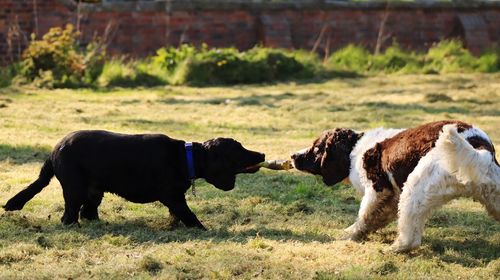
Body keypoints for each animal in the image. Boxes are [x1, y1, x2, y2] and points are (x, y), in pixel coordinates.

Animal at [2, 130, 266, 229]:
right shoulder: (172, 196)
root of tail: (54, 150)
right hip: (75, 189)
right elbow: (189, 215)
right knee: (68, 216)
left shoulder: (174, 198)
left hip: (94, 191)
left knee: (87, 212)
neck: (185, 158)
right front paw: (202, 230)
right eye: (239, 149)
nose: (262, 154)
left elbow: (178, 215)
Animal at [292, 120, 498, 252]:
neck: (354, 150)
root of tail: (479, 148)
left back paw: (397, 247)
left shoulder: (377, 189)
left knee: (411, 237)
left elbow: (364, 215)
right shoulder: (391, 196)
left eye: (317, 148)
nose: (293, 155)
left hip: (415, 188)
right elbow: (374, 217)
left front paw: (350, 234)